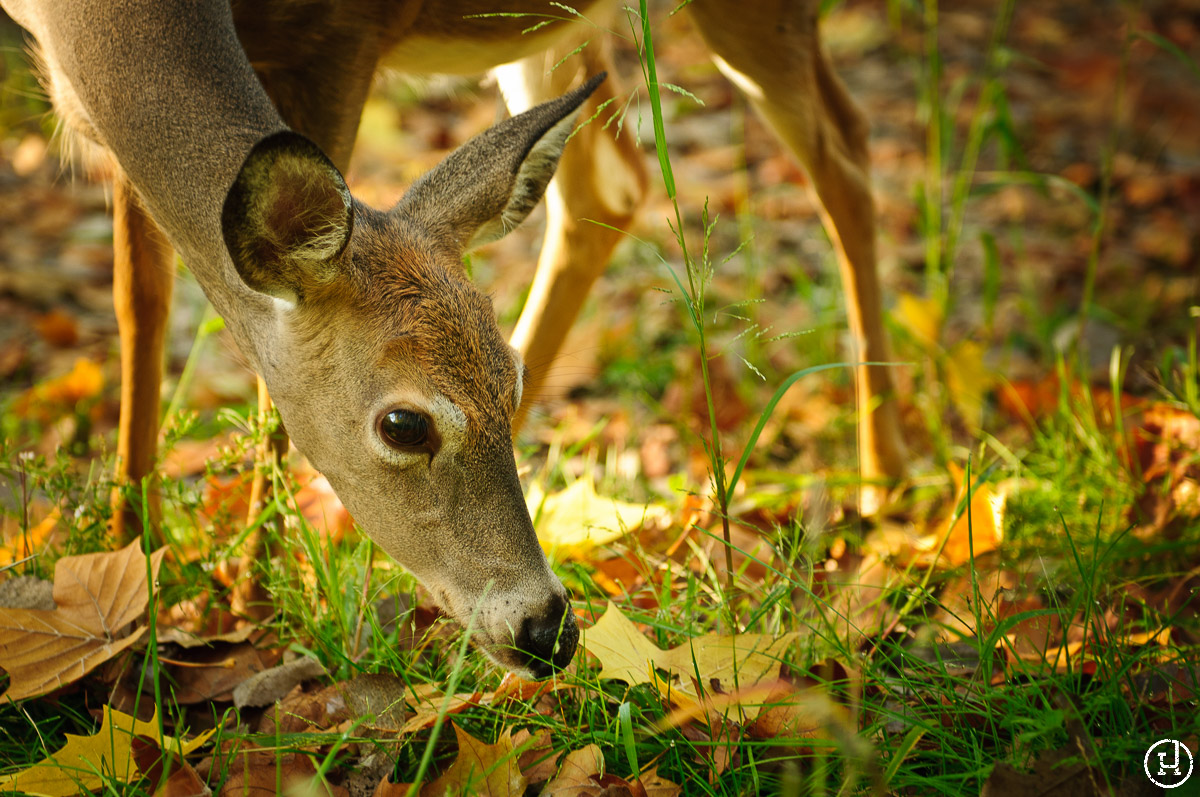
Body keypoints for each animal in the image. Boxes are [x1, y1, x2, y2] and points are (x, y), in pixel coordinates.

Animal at [0, 0, 902, 676]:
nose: (547, 630)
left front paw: (243, 602)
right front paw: (130, 564)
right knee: (609, 186)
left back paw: (881, 485)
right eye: (405, 424)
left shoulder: (338, 35)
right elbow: (139, 301)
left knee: (845, 149)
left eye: (511, 382)